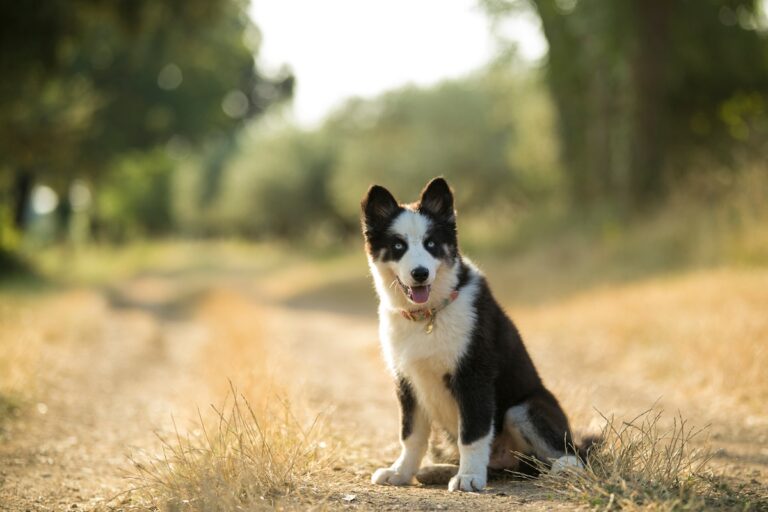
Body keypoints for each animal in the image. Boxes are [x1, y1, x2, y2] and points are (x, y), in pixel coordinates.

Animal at [364, 177, 580, 492]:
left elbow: (473, 434)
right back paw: (437, 470)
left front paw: (468, 477)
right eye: (397, 245)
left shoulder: (473, 375)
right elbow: (410, 434)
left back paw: (565, 468)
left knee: (573, 454)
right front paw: (400, 472)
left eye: (431, 244)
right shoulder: (407, 380)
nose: (420, 273)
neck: (428, 316)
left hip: (523, 409)